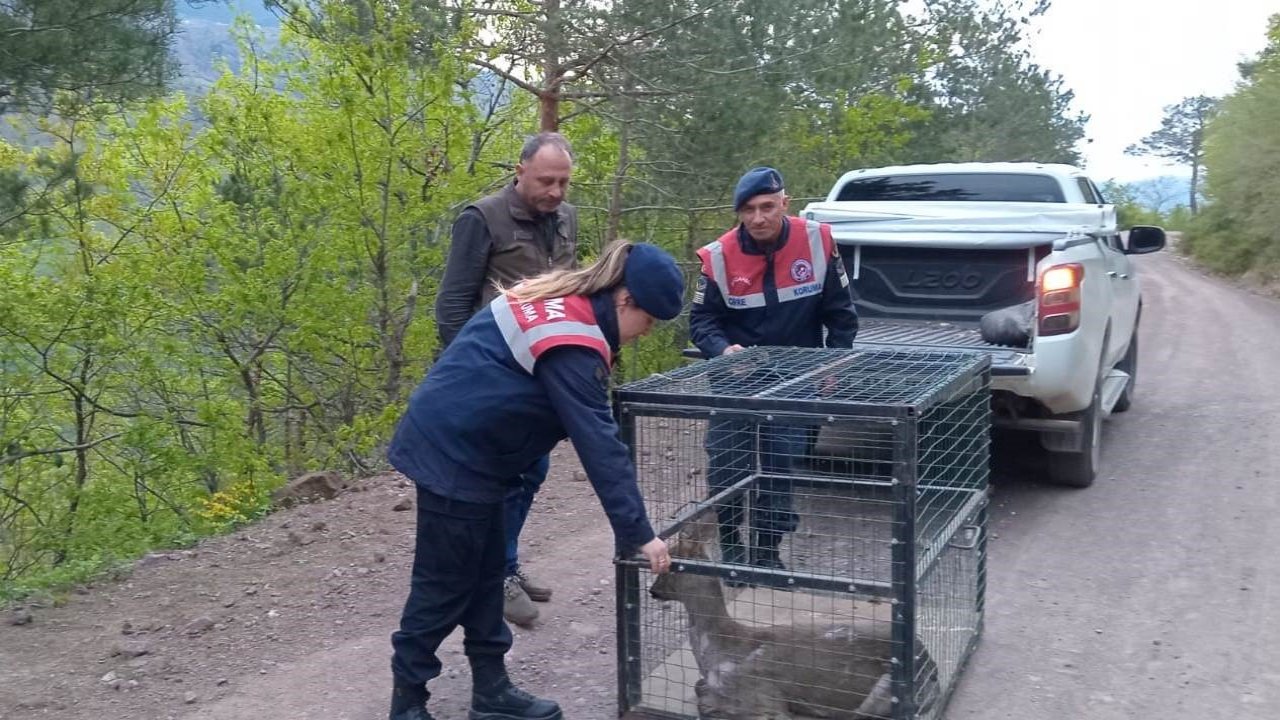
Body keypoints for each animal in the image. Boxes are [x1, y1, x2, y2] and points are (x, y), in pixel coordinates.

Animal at [614, 345, 993, 712]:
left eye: (671, 564)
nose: (653, 591)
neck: (721, 650)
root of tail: (932, 669)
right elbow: (698, 687)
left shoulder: (762, 698)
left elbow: (710, 699)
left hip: (882, 693)